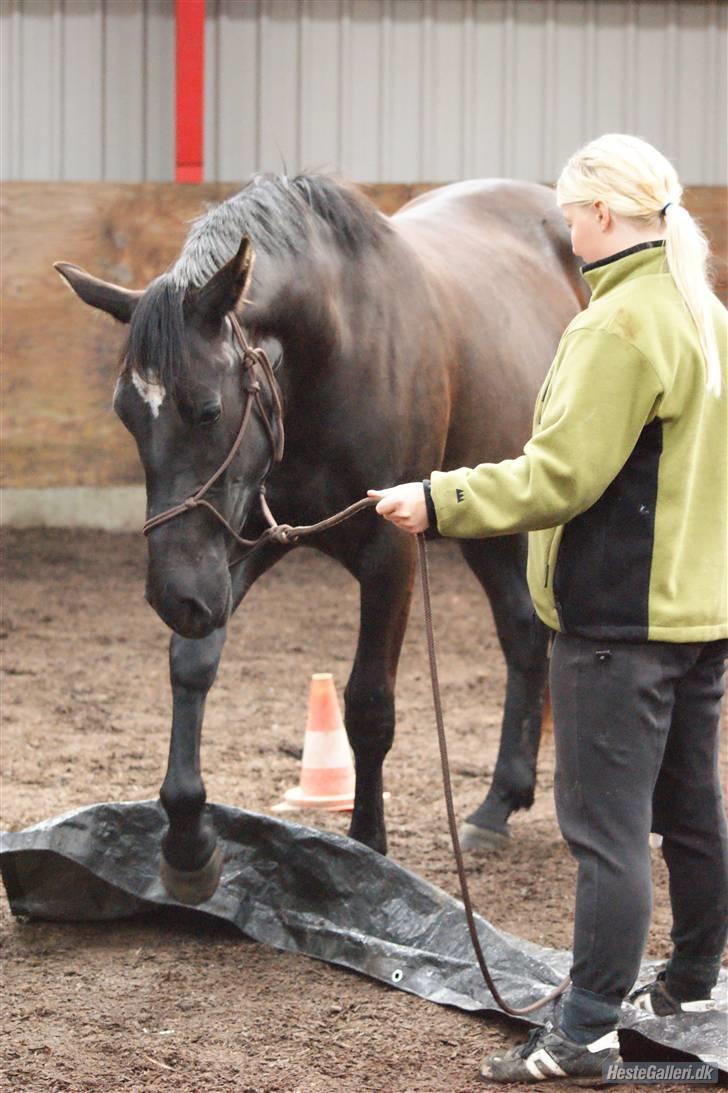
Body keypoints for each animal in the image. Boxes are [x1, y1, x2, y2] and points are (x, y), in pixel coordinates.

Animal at [58, 172, 590, 905]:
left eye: (209, 409)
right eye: (125, 414)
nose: (173, 595)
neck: (333, 349)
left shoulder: (392, 552)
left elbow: (368, 705)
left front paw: (368, 854)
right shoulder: (241, 537)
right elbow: (192, 663)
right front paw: (188, 843)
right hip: (487, 519)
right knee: (522, 633)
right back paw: (496, 806)